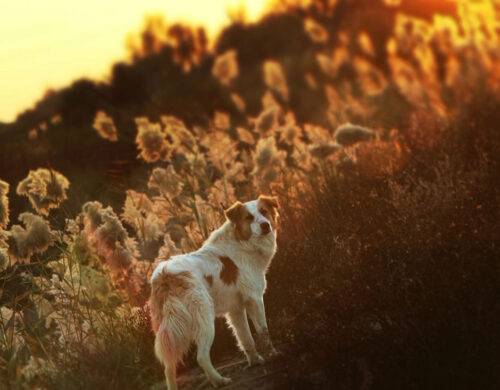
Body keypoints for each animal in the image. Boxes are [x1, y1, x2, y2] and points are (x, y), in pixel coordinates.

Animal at [148, 197, 282, 388]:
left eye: (264, 211)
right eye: (249, 217)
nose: (265, 225)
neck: (242, 242)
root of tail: (165, 275)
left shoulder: (235, 310)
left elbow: (246, 339)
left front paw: (255, 361)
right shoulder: (255, 300)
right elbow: (263, 332)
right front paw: (273, 355)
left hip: (168, 329)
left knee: (169, 368)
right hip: (204, 320)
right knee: (201, 357)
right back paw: (219, 380)